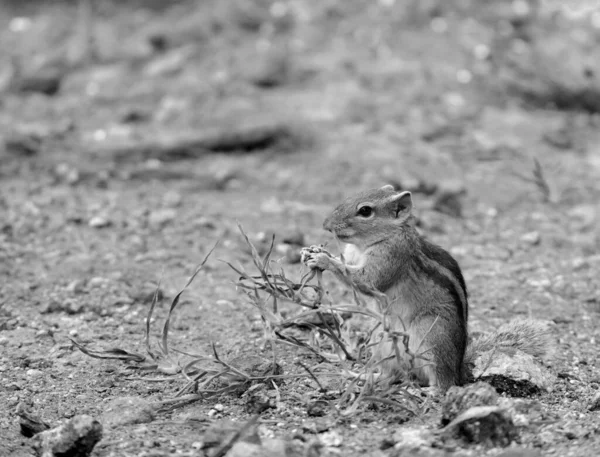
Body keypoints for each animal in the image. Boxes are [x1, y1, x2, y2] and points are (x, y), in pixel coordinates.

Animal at [302, 183, 552, 390]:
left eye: (365, 211)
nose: (326, 225)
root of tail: (460, 370)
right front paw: (312, 251)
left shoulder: (391, 257)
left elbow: (365, 279)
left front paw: (322, 260)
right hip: (379, 338)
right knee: (391, 374)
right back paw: (363, 376)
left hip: (431, 337)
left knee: (443, 384)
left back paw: (427, 391)